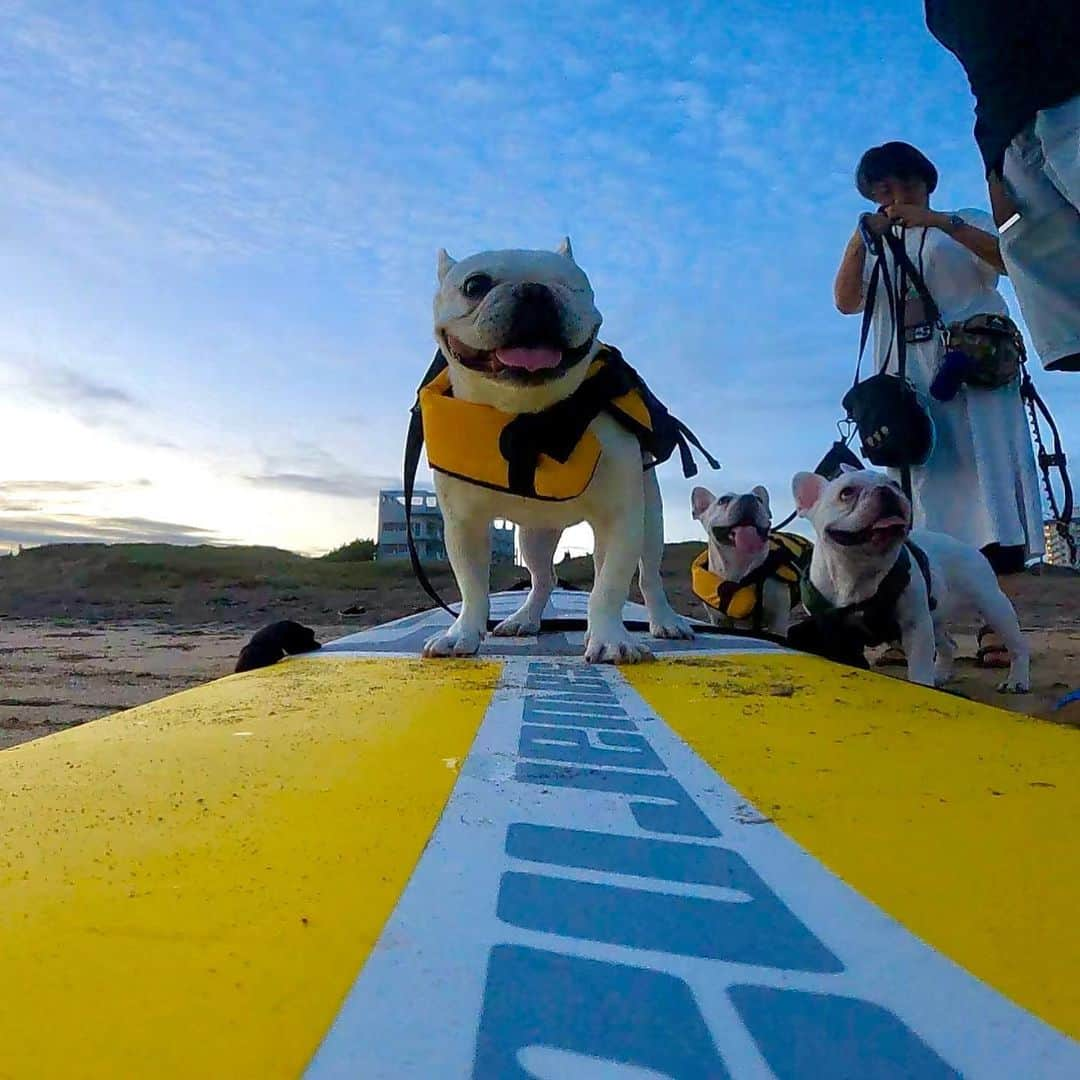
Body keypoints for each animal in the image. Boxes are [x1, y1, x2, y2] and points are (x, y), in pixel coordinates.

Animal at [416, 240, 704, 660]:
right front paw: (463, 633)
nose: (534, 290)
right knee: (543, 578)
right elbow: (471, 587)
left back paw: (665, 621)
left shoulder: (621, 518)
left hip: (650, 522)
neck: (529, 414)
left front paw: (611, 638)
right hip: (534, 536)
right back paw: (524, 618)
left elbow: (610, 585)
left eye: (574, 286)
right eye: (474, 285)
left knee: (647, 576)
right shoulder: (463, 524)